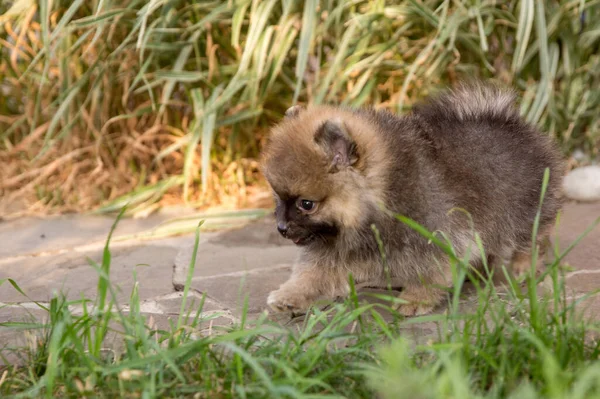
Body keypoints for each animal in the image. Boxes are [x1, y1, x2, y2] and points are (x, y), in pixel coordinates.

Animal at [258, 84, 564, 316]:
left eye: (306, 204)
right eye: (277, 197)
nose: (281, 228)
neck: (384, 194)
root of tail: (509, 122)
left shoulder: (436, 234)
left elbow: (430, 270)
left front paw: (416, 299)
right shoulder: (335, 244)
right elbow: (313, 274)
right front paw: (290, 296)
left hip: (525, 208)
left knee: (533, 237)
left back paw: (524, 267)